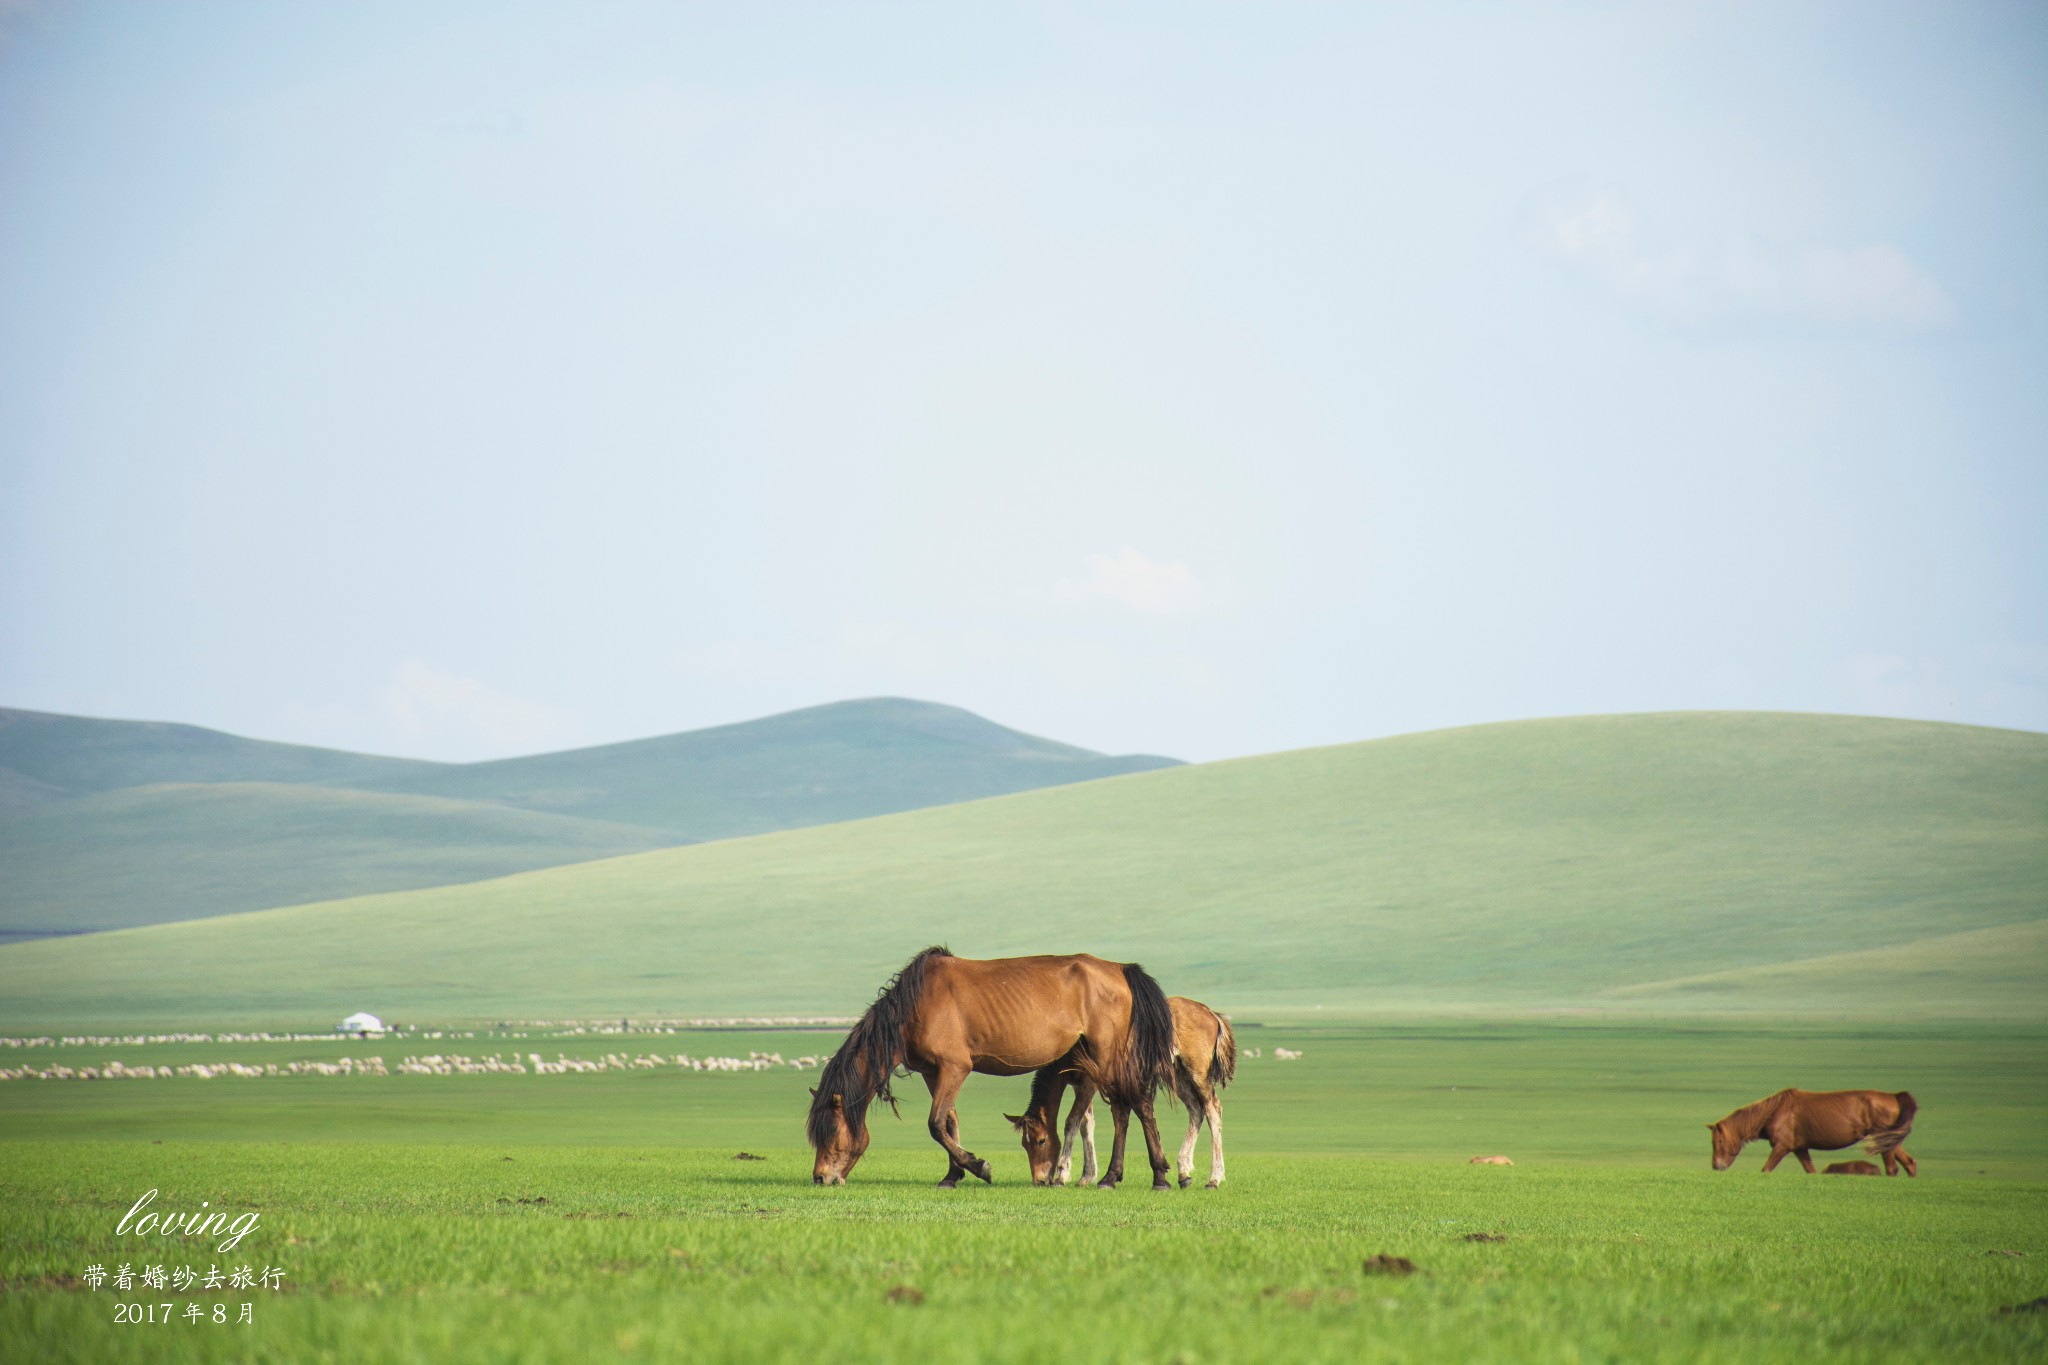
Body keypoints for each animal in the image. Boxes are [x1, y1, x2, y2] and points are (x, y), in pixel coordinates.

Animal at [806, 945, 1179, 1186]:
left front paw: (978, 1166)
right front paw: (952, 1175)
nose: (820, 1178)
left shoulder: (955, 1067)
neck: (915, 1006)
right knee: (1123, 1108)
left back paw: (1156, 1175)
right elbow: (950, 1122)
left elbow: (936, 1123)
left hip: (1107, 1054)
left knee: (1138, 1104)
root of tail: (1121, 969)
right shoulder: (933, 1072)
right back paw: (1113, 1176)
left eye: (831, 1132)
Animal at [1007, 994, 1228, 1195]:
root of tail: (1210, 1013)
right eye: (1024, 1144)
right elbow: (1086, 1124)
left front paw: (1063, 1174)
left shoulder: (1089, 1082)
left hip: (1197, 1072)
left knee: (1212, 1110)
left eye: (1041, 1140)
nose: (1039, 1180)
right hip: (1178, 1074)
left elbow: (1073, 1121)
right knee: (1196, 1110)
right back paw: (1184, 1172)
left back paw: (1214, 1179)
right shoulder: (1079, 1084)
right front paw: (1086, 1176)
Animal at [1712, 1088, 1916, 1178]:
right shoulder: (1800, 1149)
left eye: (1719, 1142)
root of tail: (1895, 1097)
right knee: (1909, 1163)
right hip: (1890, 1141)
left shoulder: (1781, 1147)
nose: (1716, 1166)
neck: (1775, 1111)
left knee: (1892, 1168)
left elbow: (1766, 1169)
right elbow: (1811, 1170)